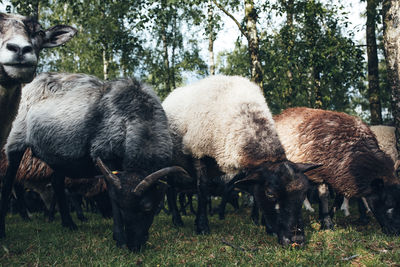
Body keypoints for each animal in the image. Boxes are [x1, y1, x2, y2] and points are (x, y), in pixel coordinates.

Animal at [0, 72, 190, 252]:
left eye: (148, 207)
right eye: (122, 207)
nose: (133, 246)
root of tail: (34, 81)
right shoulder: (106, 153)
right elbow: (112, 193)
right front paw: (119, 239)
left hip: (60, 154)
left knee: (57, 183)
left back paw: (69, 224)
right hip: (17, 138)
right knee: (9, 181)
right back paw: (5, 230)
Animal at [161, 75, 320, 247]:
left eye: (304, 193)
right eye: (270, 193)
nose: (297, 241)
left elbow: (254, 195)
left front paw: (267, 226)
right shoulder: (197, 150)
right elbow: (202, 190)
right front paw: (202, 227)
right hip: (172, 164)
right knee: (170, 191)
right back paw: (177, 220)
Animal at [274, 108, 400, 236]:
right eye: (389, 203)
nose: (396, 232)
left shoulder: (336, 175)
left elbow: (337, 199)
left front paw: (326, 218)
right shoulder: (321, 173)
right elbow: (324, 197)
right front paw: (327, 224)